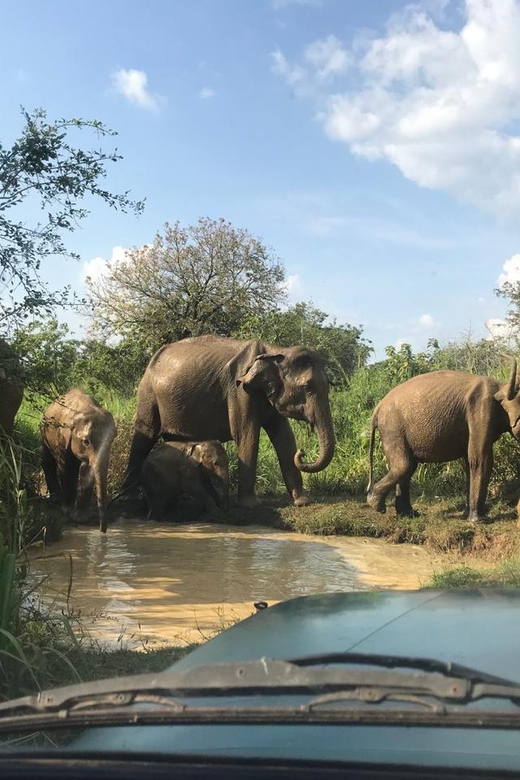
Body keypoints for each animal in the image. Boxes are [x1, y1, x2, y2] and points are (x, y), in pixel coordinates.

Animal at [41, 388, 118, 532]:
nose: (102, 530)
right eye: (86, 441)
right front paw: (67, 510)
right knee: (47, 460)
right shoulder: (62, 436)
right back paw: (55, 499)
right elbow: (66, 467)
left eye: (112, 439)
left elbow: (87, 469)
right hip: (44, 430)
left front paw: (81, 519)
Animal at [120, 334, 336, 506]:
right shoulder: (239, 391)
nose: (303, 451)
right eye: (307, 387)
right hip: (148, 393)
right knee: (145, 435)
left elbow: (284, 436)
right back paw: (129, 497)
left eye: (329, 385)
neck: (276, 351)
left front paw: (303, 502)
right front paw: (250, 505)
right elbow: (247, 435)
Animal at [366, 360, 520, 524]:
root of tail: (377, 408)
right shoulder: (481, 411)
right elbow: (480, 460)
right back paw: (376, 504)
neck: (502, 386)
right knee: (404, 466)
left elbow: (469, 461)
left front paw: (467, 515)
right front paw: (480, 521)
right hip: (393, 428)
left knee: (408, 467)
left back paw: (408, 513)